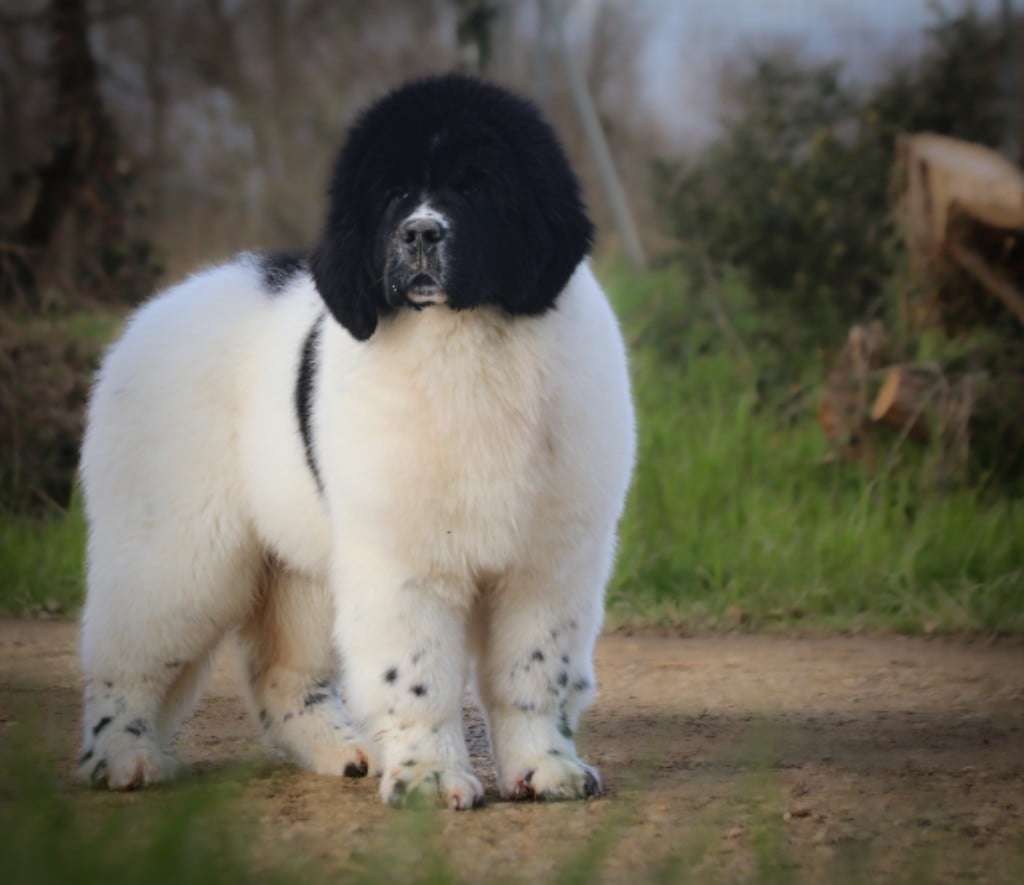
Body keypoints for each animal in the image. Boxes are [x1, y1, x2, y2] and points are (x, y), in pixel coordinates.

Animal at [77, 74, 635, 809]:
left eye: (475, 186)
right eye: (394, 193)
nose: (421, 232)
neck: (464, 339)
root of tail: (150, 314)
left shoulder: (549, 558)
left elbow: (536, 672)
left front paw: (547, 770)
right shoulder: (402, 558)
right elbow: (418, 675)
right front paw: (430, 779)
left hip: (305, 562)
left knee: (282, 672)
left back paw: (341, 750)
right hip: (176, 548)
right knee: (127, 655)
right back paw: (121, 758)